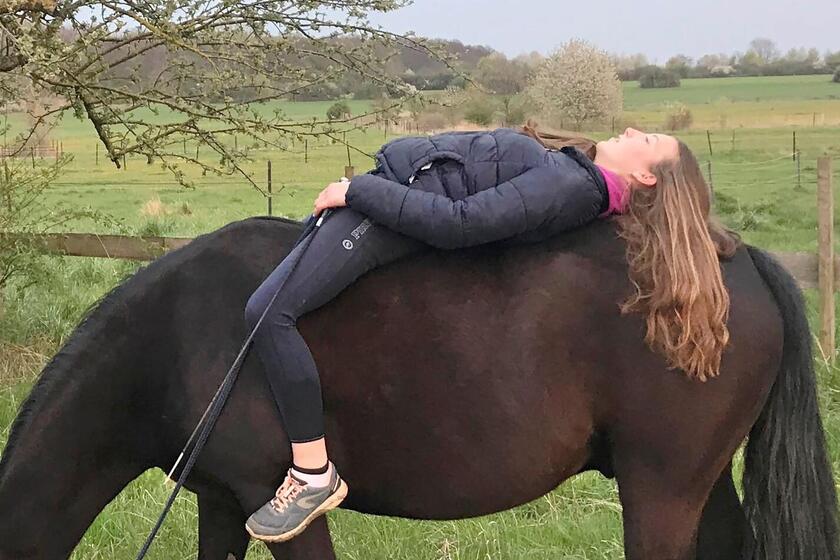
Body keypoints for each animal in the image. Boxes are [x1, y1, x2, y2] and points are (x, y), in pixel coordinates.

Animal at [0, 215, 836, 560]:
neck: (174, 340)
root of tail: (736, 260)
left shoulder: (282, 511)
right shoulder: (221, 502)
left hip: (660, 490)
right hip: (698, 482)